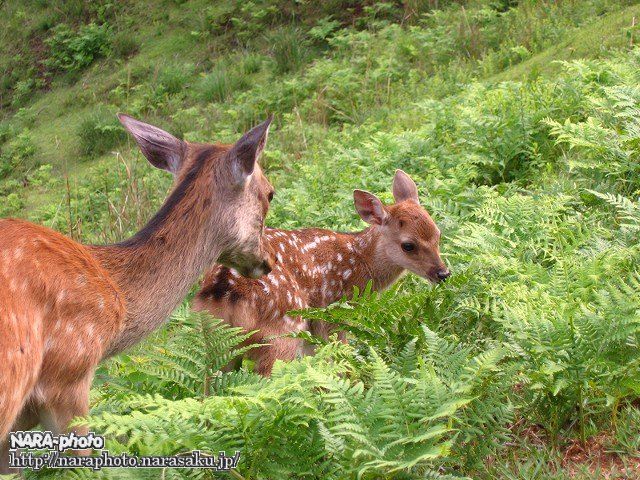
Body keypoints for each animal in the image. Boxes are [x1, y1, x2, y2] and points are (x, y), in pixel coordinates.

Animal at [195, 171, 450, 376]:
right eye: (408, 245)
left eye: (437, 233)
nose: (443, 273)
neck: (360, 263)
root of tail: (221, 290)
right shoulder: (333, 313)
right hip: (282, 331)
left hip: (218, 344)